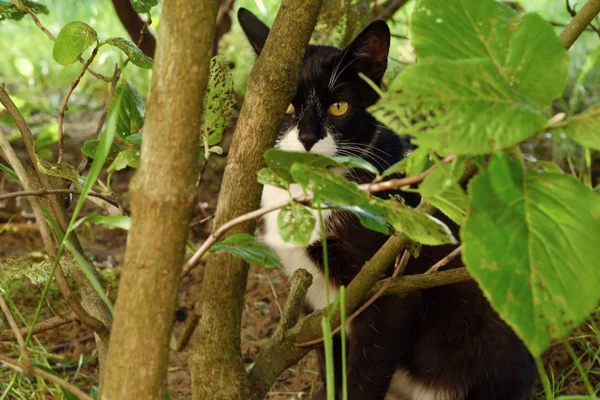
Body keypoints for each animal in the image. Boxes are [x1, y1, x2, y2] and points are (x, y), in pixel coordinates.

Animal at [238, 9, 536, 400]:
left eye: (339, 107)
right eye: (286, 105)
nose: (307, 137)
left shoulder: (389, 288)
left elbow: (367, 372)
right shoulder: (316, 299)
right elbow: (329, 359)